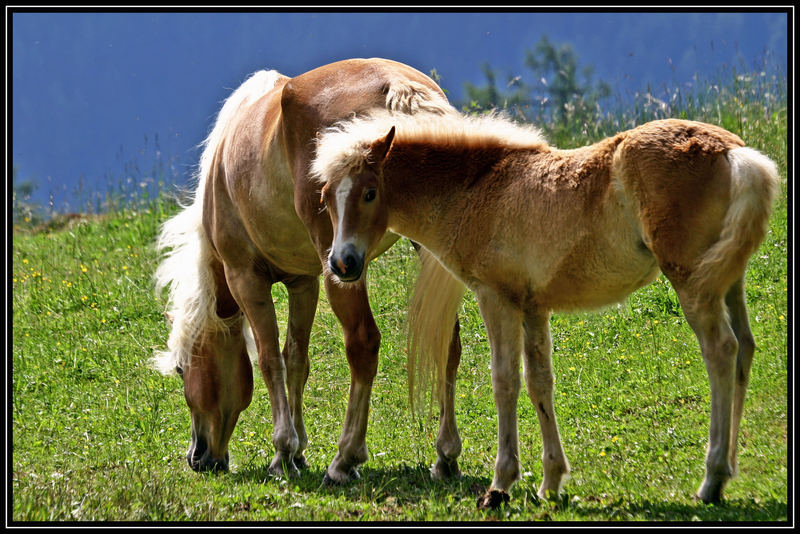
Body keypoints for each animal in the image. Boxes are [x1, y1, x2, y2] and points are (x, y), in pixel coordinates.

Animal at [154, 59, 466, 486]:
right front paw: (298, 451)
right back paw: (445, 455)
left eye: (183, 369)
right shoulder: (304, 282)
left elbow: (270, 359)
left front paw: (284, 451)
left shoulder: (246, 279)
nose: (198, 457)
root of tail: (396, 86)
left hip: (344, 271)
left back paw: (345, 459)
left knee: (363, 344)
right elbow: (296, 360)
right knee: (446, 339)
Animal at [316, 110, 780, 510]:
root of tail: (736, 152)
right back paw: (728, 470)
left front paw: (501, 484)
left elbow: (505, 381)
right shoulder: (533, 307)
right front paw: (551, 481)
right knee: (745, 348)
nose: (342, 264)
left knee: (721, 350)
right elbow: (540, 382)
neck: (479, 187)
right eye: (325, 198)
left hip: (691, 282)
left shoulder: (497, 298)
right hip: (727, 280)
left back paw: (712, 479)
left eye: (370, 192)